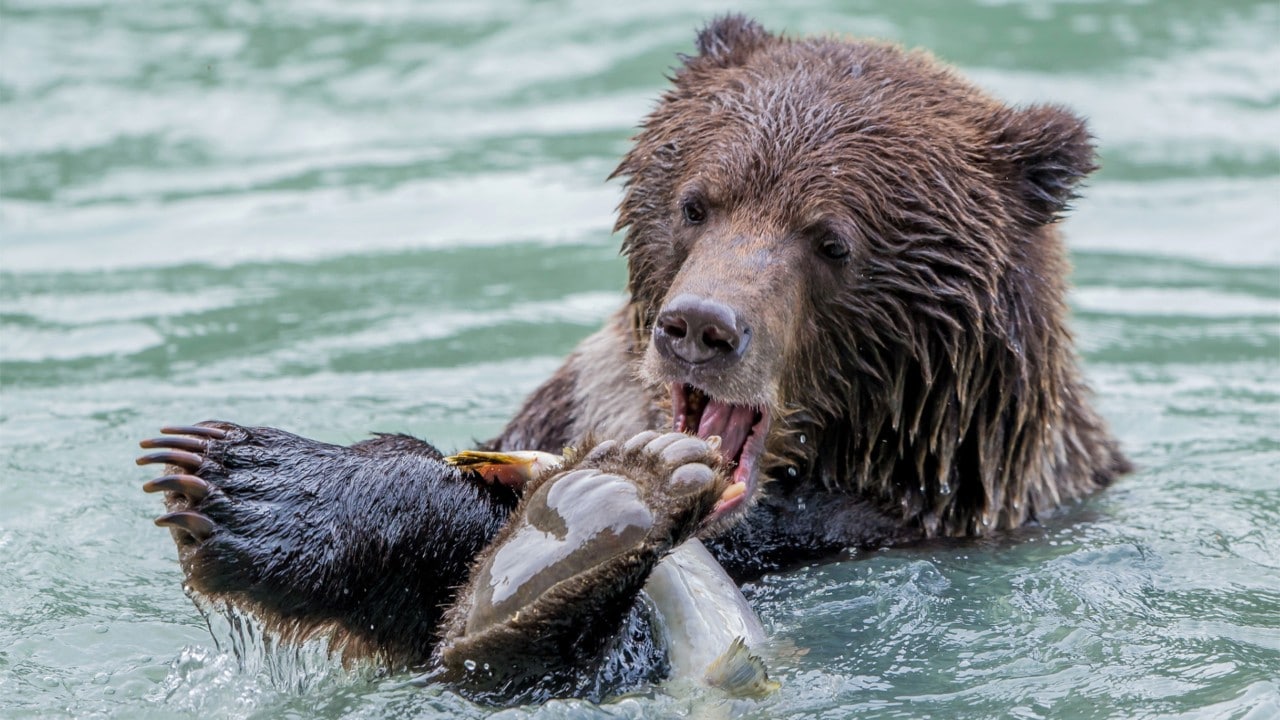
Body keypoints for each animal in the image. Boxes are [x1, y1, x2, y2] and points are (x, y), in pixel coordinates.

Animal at [137, 12, 1131, 702]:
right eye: (697, 201)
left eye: (831, 239)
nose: (702, 325)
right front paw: (240, 477)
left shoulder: (890, 529)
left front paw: (253, 483)